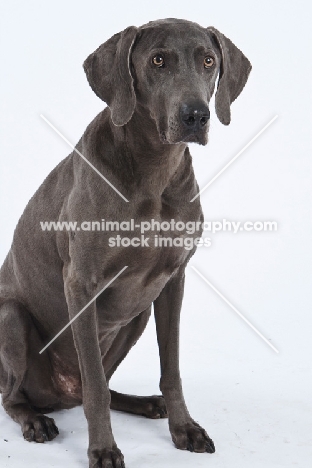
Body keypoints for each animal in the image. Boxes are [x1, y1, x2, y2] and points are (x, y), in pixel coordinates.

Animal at [0, 16, 252, 466]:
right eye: (158, 61)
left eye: (208, 60)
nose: (196, 115)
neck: (154, 171)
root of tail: (57, 396)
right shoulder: (81, 284)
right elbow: (96, 390)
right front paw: (102, 449)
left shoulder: (172, 281)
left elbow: (171, 369)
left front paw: (185, 427)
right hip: (9, 318)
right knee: (19, 395)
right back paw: (34, 420)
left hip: (136, 315)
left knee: (95, 384)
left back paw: (145, 403)